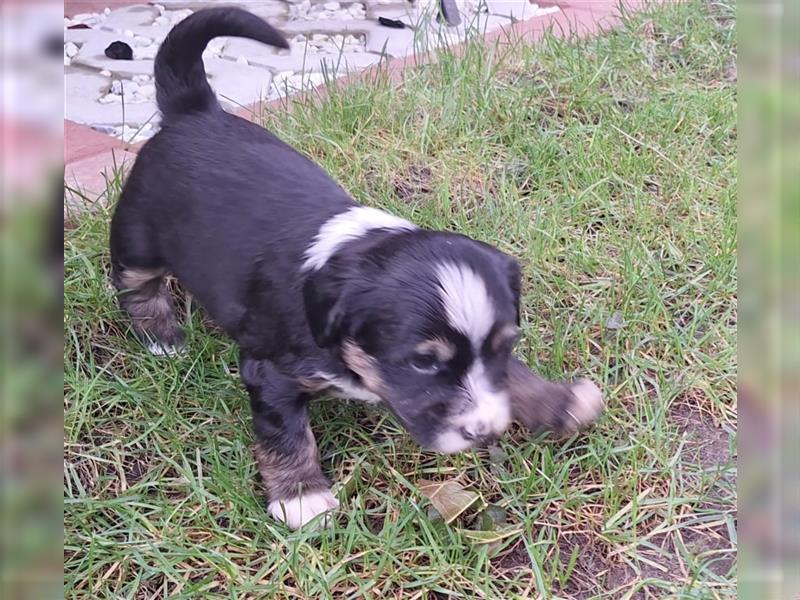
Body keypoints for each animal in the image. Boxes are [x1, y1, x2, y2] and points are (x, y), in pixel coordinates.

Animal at [109, 8, 604, 524]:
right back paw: (162, 336)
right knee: (134, 283)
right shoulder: (270, 373)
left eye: (506, 345)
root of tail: (193, 110)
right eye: (423, 363)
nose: (486, 431)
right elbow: (285, 434)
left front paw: (561, 402)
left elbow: (513, 375)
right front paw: (302, 498)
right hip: (137, 236)